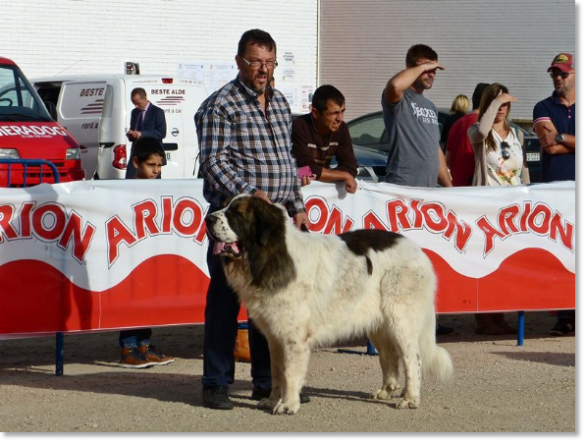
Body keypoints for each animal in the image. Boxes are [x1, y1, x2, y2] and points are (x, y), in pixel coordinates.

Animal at [205, 196, 452, 414]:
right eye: (224, 206)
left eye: (237, 213)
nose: (208, 219)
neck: (270, 255)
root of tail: (417, 250)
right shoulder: (275, 336)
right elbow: (276, 373)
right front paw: (272, 400)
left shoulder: (294, 338)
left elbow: (289, 374)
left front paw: (287, 405)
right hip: (379, 324)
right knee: (389, 355)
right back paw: (386, 390)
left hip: (400, 319)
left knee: (412, 358)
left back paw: (410, 398)